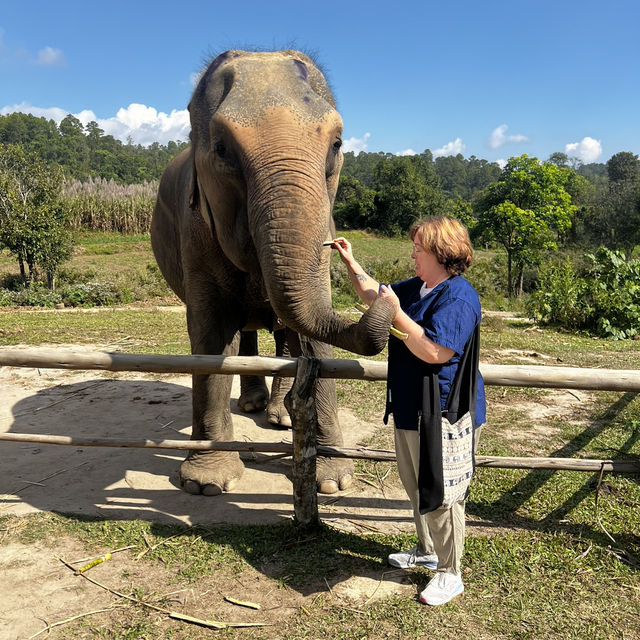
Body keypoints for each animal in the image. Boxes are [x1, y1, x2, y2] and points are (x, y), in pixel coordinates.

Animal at [152, 51, 398, 500]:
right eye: (222, 149)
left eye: (337, 144)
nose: (387, 295)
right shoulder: (194, 235)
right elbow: (211, 336)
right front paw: (206, 484)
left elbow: (315, 340)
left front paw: (333, 481)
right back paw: (253, 405)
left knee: (284, 332)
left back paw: (280, 416)